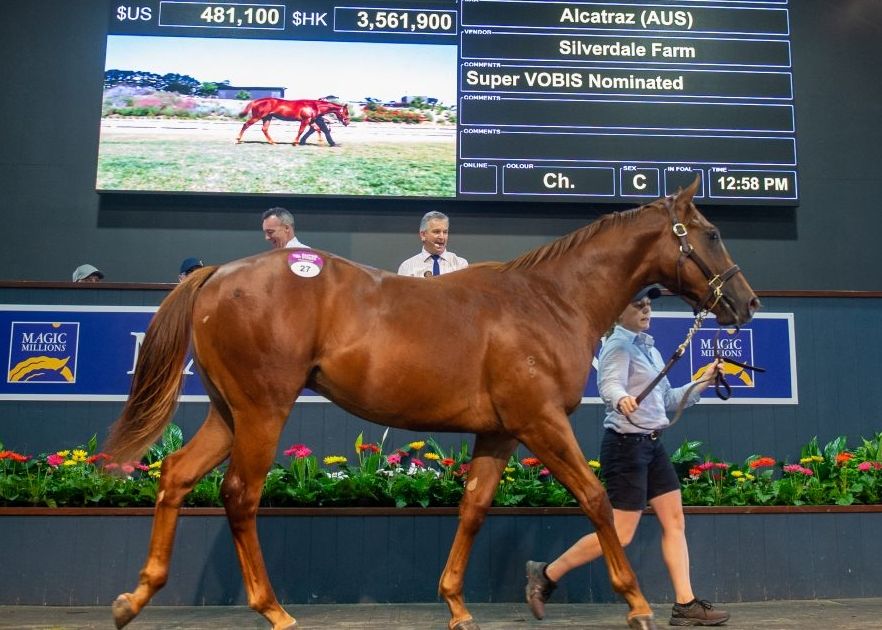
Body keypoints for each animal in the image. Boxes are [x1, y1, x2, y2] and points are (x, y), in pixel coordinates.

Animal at [105, 179, 758, 630]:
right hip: (263, 410)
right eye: (712, 233)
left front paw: (456, 605)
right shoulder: (541, 422)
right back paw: (274, 611)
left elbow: (473, 508)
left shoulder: (501, 432)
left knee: (176, 475)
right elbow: (597, 499)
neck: (549, 301)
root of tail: (219, 274)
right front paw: (637, 602)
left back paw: (135, 597)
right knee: (240, 495)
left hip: (228, 411)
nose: (747, 303)